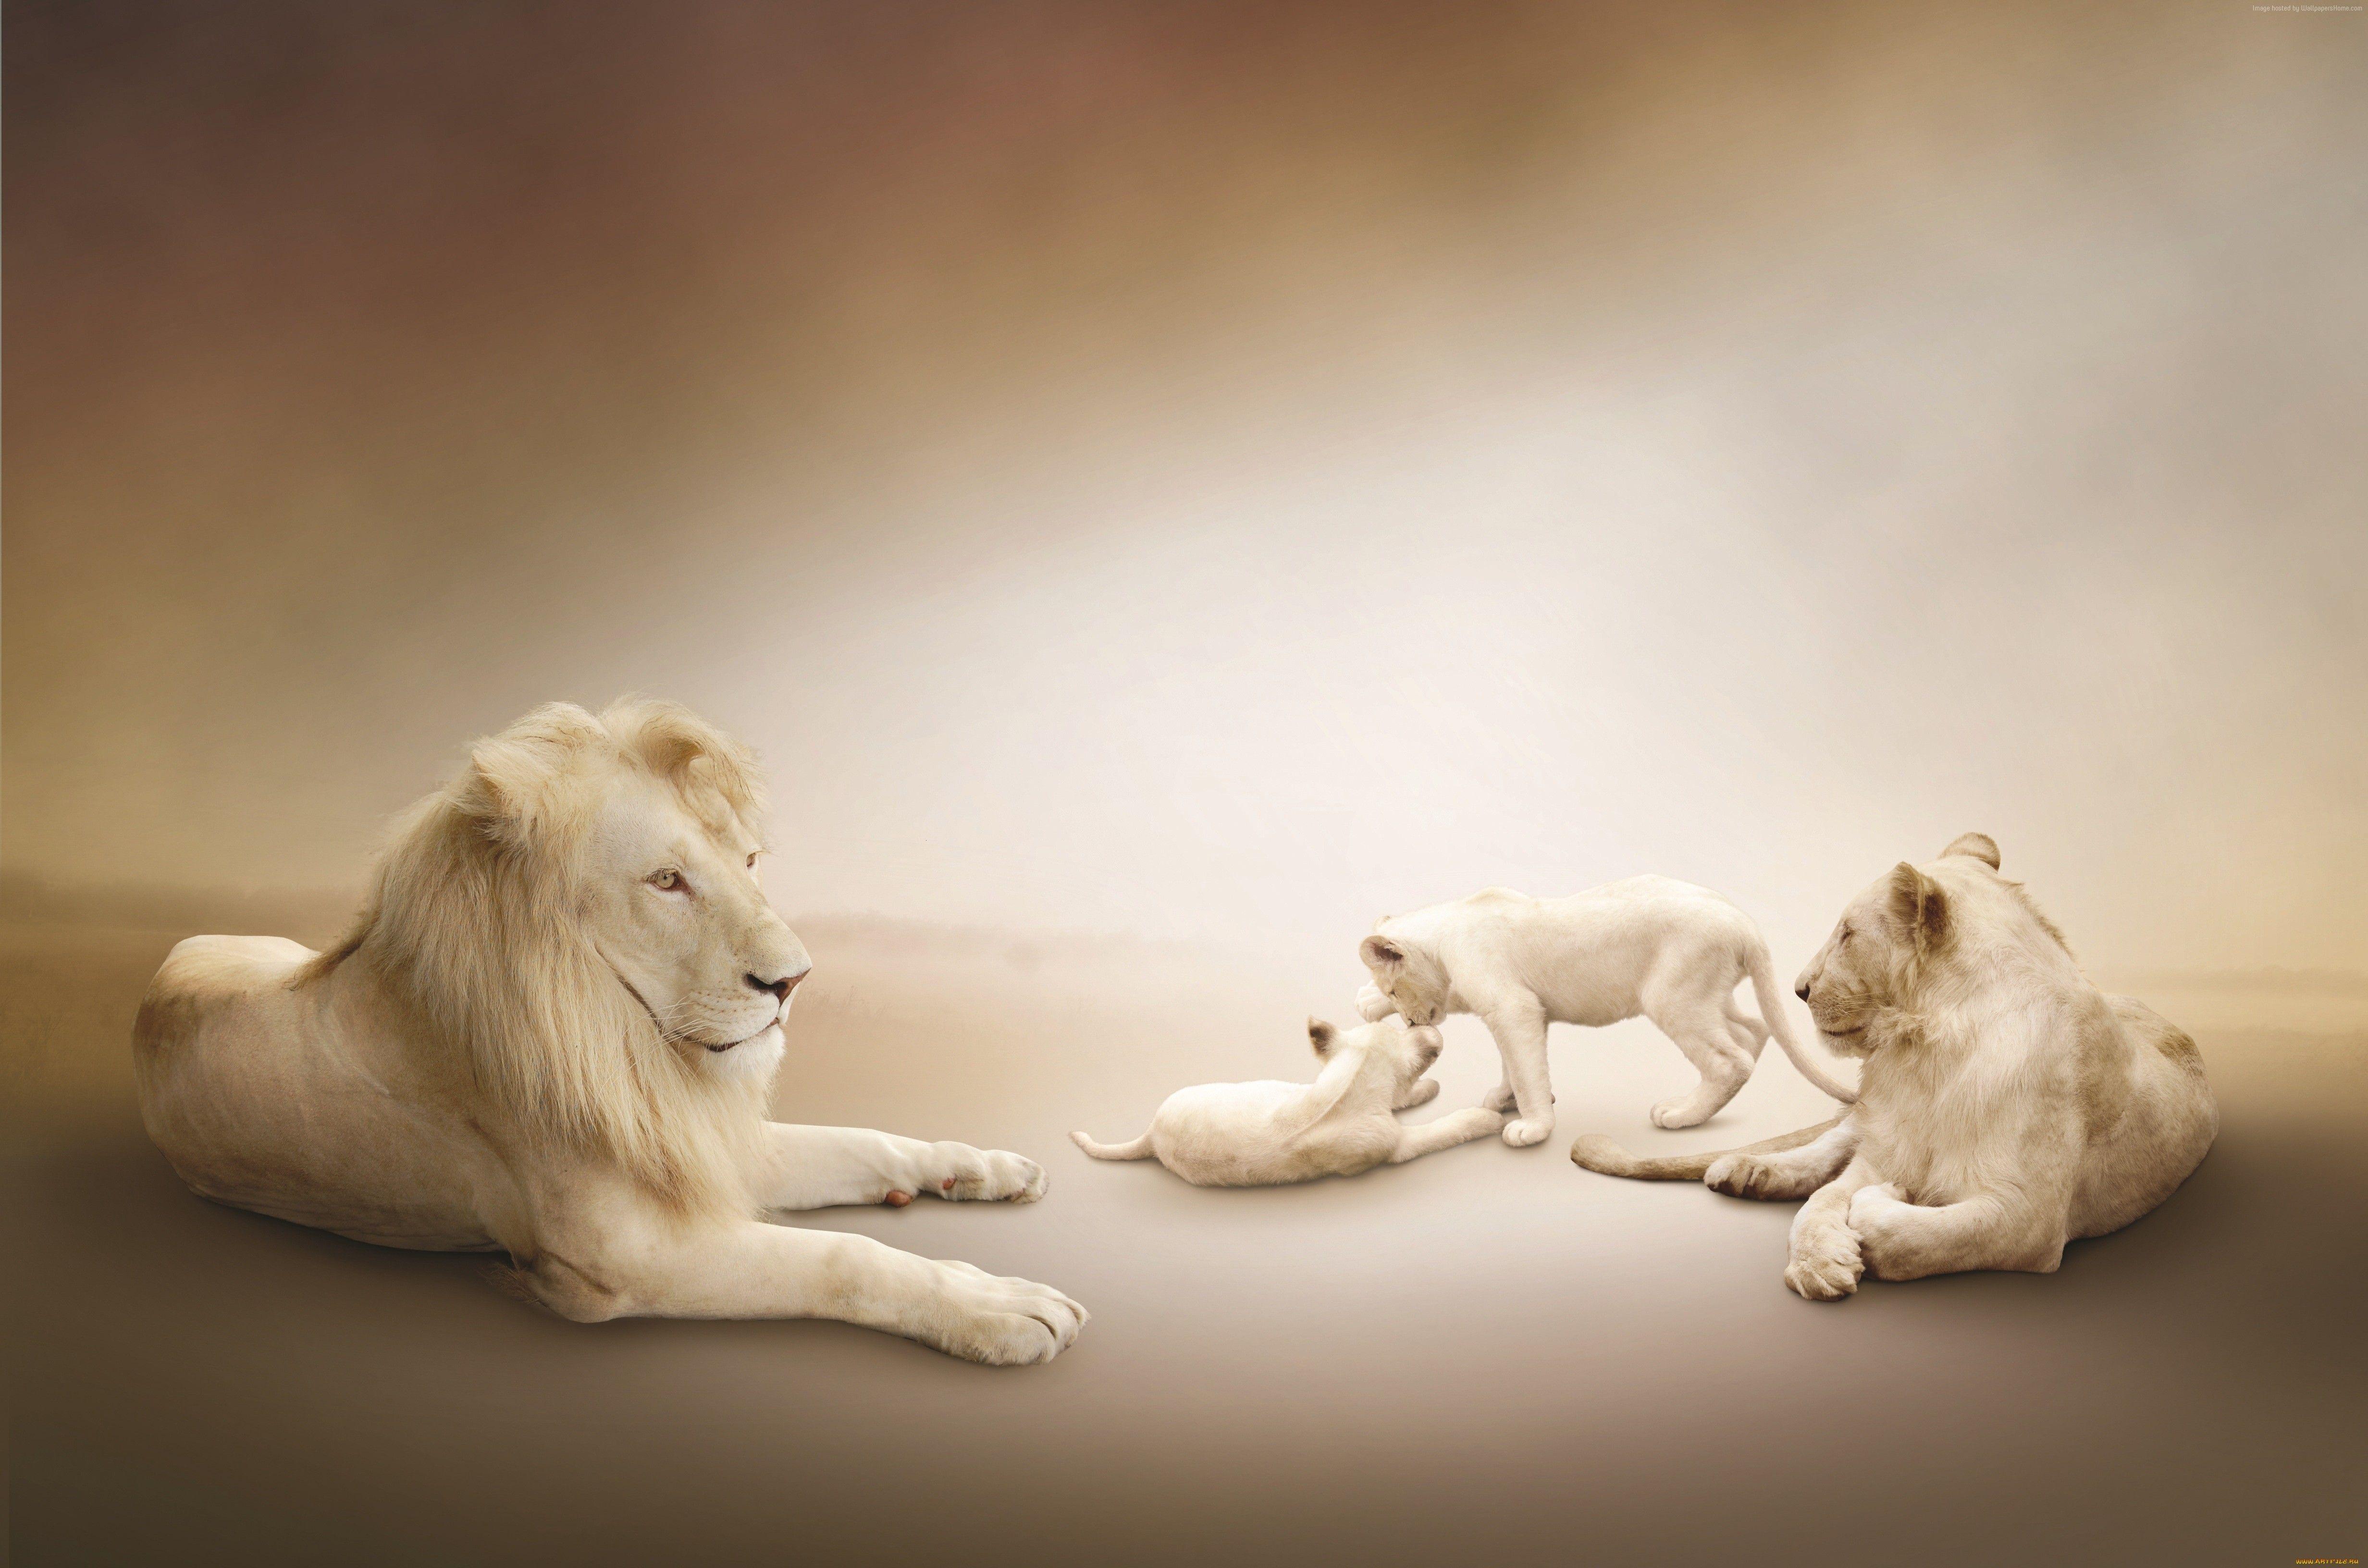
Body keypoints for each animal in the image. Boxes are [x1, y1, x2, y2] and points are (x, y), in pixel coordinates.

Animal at [133, 699, 1086, 1364]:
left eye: (748, 862)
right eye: (666, 880)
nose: (795, 981)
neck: (633, 1049)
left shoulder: (694, 1142)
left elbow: (861, 1139)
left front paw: (980, 1167)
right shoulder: (625, 1258)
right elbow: (843, 1257)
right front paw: (999, 1306)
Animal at [1069, 1014, 1502, 1185]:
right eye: (1400, 1030)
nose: (1424, 1024)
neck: (1349, 1081)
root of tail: (1152, 1135)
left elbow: (1406, 1098)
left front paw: (1429, 1089)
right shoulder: (1393, 1145)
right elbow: (1444, 1129)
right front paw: (1487, 1119)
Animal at [1354, 877, 1858, 1147]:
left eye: (1395, 990)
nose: (1412, 1023)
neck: (1446, 940)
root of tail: (1745, 922)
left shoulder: (1513, 1007)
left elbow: (1524, 1068)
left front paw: (1532, 1127)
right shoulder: (1520, 1012)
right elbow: (1514, 1063)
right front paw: (1506, 1098)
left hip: (1672, 997)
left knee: (1730, 1060)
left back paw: (1682, 1114)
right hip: (1708, 996)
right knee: (1752, 1030)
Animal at [1570, 835, 2219, 1300]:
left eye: (1847, 934)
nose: (1799, 988)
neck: (1927, 1055)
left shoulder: (2027, 1218)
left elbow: (1921, 1234)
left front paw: (1880, 1211)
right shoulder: (1889, 1141)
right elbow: (1820, 1201)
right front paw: (1819, 1264)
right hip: (1864, 1119)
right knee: (1828, 1146)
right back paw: (1746, 1169)